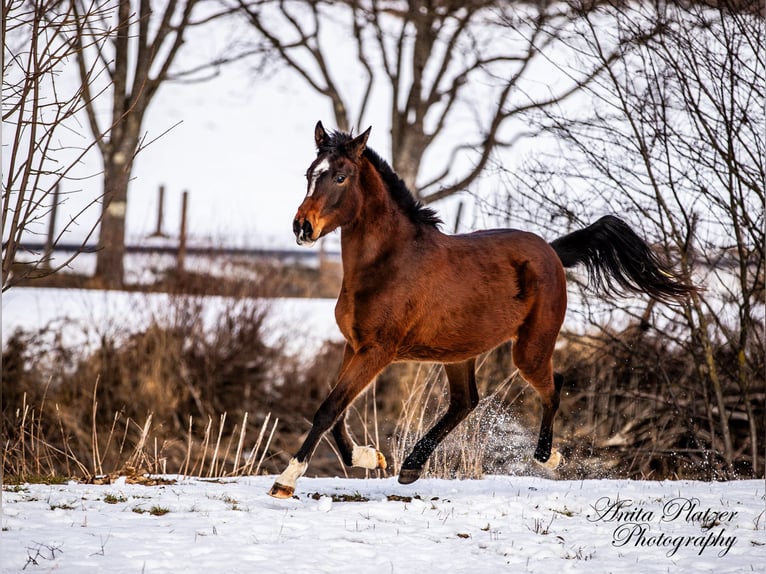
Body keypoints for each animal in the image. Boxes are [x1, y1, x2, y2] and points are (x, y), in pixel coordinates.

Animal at [270, 122, 696, 500]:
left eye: (340, 177)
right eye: (310, 174)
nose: (302, 227)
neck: (390, 262)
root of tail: (552, 252)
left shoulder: (377, 351)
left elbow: (328, 409)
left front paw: (285, 482)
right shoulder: (353, 345)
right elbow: (336, 412)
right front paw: (371, 458)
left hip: (529, 348)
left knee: (552, 385)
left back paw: (547, 457)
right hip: (457, 351)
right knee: (465, 401)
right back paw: (410, 467)